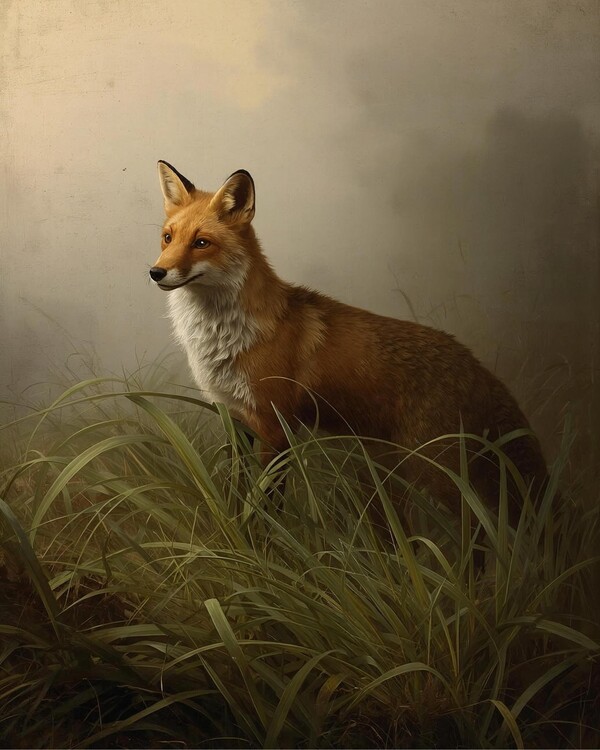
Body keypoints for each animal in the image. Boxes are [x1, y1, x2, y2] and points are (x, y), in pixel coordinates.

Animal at [149, 161, 548, 517]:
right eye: (168, 238)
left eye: (201, 243)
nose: (156, 272)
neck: (225, 339)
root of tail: (473, 360)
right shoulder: (234, 419)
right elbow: (237, 493)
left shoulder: (276, 426)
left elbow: (266, 505)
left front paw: (266, 544)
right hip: (387, 471)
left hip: (435, 469)